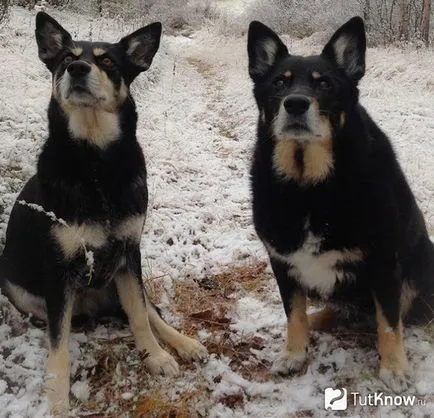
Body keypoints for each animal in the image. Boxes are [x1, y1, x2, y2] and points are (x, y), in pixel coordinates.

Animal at [0, 11, 207, 414]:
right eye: (66, 57)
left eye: (108, 61)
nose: (77, 68)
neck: (96, 161)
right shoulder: (59, 270)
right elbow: (59, 345)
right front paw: (57, 399)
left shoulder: (128, 251)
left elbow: (140, 314)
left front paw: (156, 357)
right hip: (23, 293)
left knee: (148, 309)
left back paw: (184, 343)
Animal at [248, 17, 434, 396]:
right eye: (279, 83)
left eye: (326, 84)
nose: (296, 104)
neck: (310, 186)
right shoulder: (282, 262)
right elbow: (294, 313)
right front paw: (294, 353)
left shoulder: (384, 263)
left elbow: (389, 323)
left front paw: (395, 368)